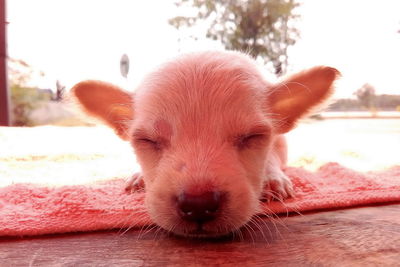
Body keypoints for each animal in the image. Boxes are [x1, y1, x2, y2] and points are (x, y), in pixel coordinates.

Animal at [72, 50, 338, 239]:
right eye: (147, 140)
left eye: (252, 137)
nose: (198, 205)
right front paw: (138, 176)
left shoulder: (276, 144)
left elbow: (272, 158)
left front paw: (272, 179)